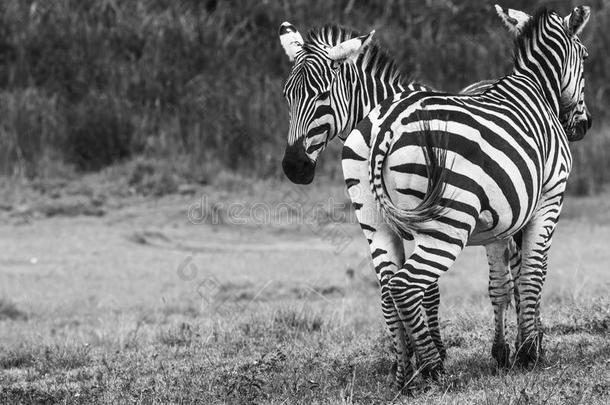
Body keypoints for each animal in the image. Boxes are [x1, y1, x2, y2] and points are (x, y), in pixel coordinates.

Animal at [340, 6, 588, 386]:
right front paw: (529, 355)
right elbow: (532, 274)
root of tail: (386, 126)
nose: (583, 126)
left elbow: (505, 283)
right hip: (448, 222)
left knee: (387, 286)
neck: (537, 87)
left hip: (374, 219)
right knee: (404, 286)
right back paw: (434, 371)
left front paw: (510, 352)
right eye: (586, 57)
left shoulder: (506, 217)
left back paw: (403, 375)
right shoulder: (550, 197)